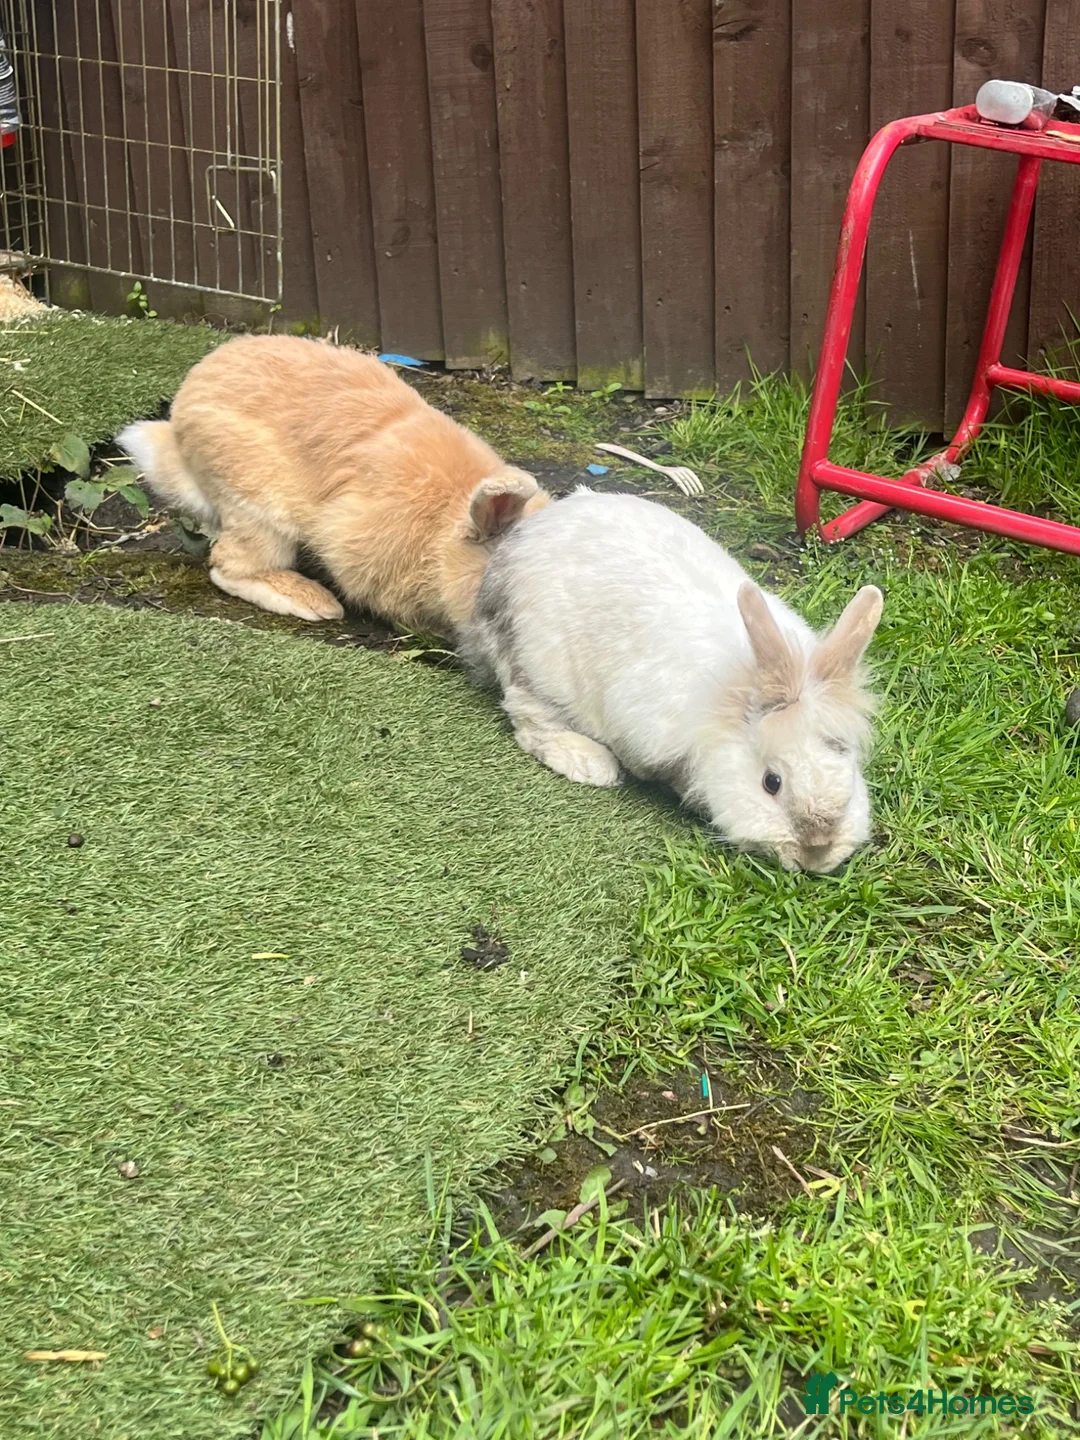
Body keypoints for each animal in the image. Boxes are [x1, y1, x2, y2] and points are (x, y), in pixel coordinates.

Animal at [458, 490, 884, 874]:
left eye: (849, 767)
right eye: (771, 782)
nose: (816, 853)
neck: (730, 698)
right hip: (539, 670)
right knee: (529, 718)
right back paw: (590, 763)